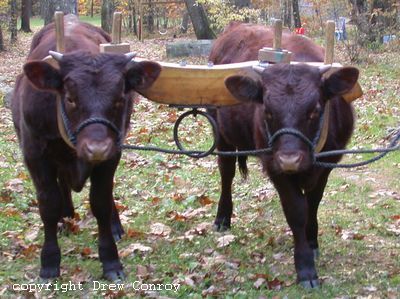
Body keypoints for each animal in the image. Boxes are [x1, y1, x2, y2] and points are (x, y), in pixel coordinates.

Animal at [12, 17, 161, 282]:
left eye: (120, 98)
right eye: (70, 98)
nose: (97, 148)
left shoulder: (113, 153)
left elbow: (100, 201)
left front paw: (111, 259)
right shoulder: (35, 154)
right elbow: (48, 205)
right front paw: (49, 262)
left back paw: (114, 226)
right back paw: (66, 218)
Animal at [209, 22, 360, 290]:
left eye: (316, 110)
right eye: (267, 111)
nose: (289, 160)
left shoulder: (327, 164)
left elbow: (313, 203)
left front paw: (312, 242)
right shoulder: (273, 165)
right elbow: (296, 210)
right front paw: (305, 268)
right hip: (222, 135)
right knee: (226, 173)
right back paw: (222, 218)